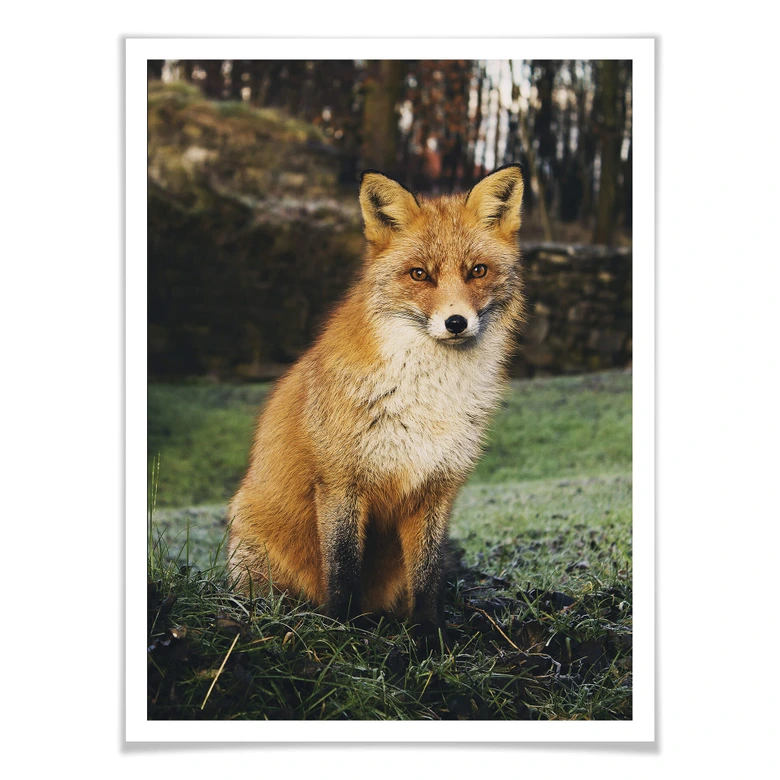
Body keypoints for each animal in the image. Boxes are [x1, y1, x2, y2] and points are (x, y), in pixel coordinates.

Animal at [227, 163, 525, 638]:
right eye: (419, 274)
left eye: (477, 271)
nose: (456, 323)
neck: (427, 398)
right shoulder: (340, 482)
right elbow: (343, 569)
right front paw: (342, 633)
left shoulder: (436, 488)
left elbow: (428, 576)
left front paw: (429, 637)